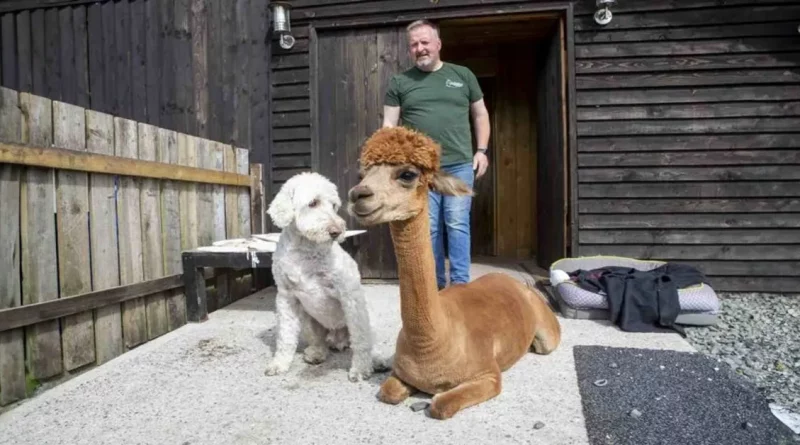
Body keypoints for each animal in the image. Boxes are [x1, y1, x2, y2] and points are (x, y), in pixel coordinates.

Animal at [260, 172, 376, 380]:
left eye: (334, 205)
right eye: (313, 203)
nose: (336, 232)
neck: (306, 251)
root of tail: (336, 336)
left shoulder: (350, 296)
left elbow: (361, 338)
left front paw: (361, 368)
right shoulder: (286, 298)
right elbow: (285, 336)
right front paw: (279, 364)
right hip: (308, 319)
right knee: (319, 342)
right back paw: (316, 353)